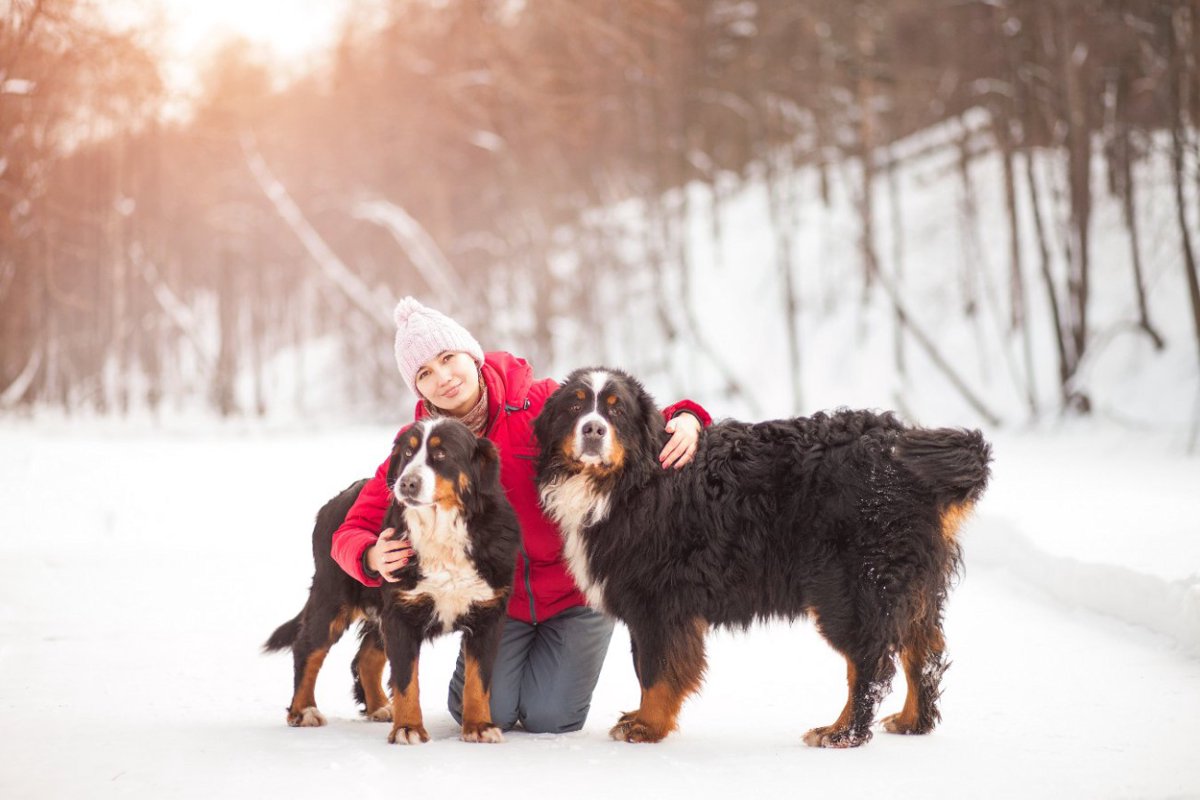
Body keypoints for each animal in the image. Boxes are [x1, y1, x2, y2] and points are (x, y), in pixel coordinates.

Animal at [265, 419, 518, 743]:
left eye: (441, 454)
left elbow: (478, 681)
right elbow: (406, 680)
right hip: (332, 599)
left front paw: (479, 726)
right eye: (408, 453)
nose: (407, 483)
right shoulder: (402, 613)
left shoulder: (487, 615)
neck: (441, 533)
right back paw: (304, 710)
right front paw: (408, 728)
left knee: (366, 658)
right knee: (307, 648)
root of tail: (334, 502)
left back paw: (379, 707)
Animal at [535, 369, 993, 753]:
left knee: (871, 665)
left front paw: (646, 726)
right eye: (575, 406)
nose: (593, 428)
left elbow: (656, 672)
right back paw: (913, 721)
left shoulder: (659, 603)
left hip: (849, 590)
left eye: (616, 409)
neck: (631, 480)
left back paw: (841, 733)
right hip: (911, 587)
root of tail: (900, 447)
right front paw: (643, 720)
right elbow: (650, 668)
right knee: (924, 653)